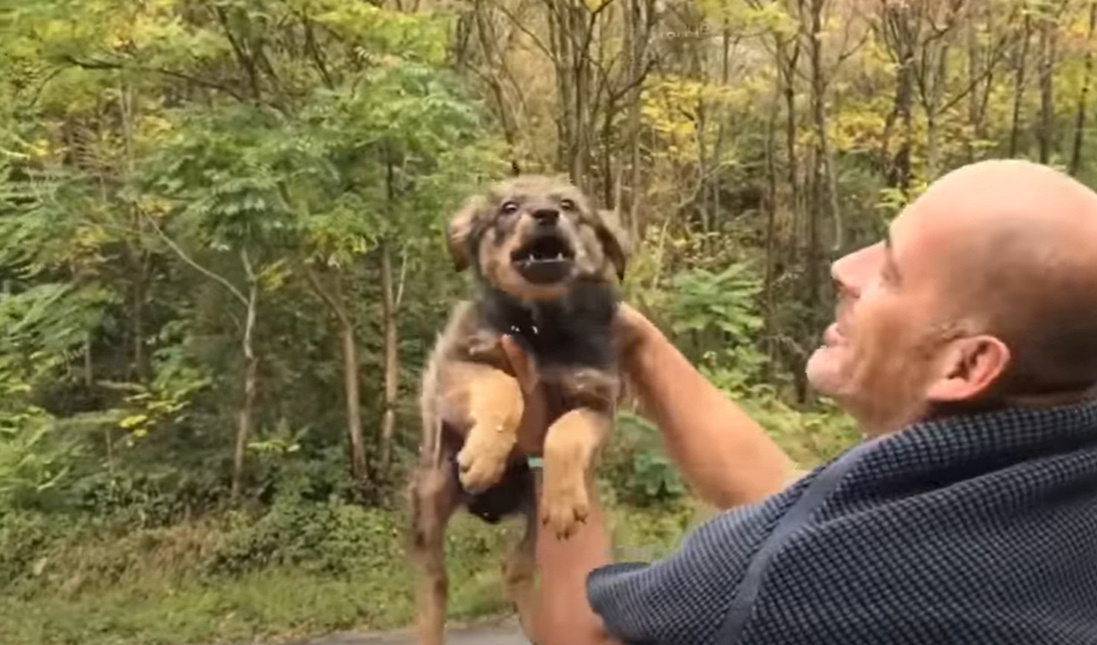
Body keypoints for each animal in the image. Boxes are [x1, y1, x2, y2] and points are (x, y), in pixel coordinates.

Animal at [408, 173, 631, 640]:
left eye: (568, 205)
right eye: (508, 208)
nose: (545, 214)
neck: (540, 326)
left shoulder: (597, 398)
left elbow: (566, 432)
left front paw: (564, 499)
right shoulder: (458, 364)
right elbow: (503, 387)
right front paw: (484, 455)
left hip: (532, 511)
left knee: (516, 569)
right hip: (433, 492)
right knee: (433, 581)